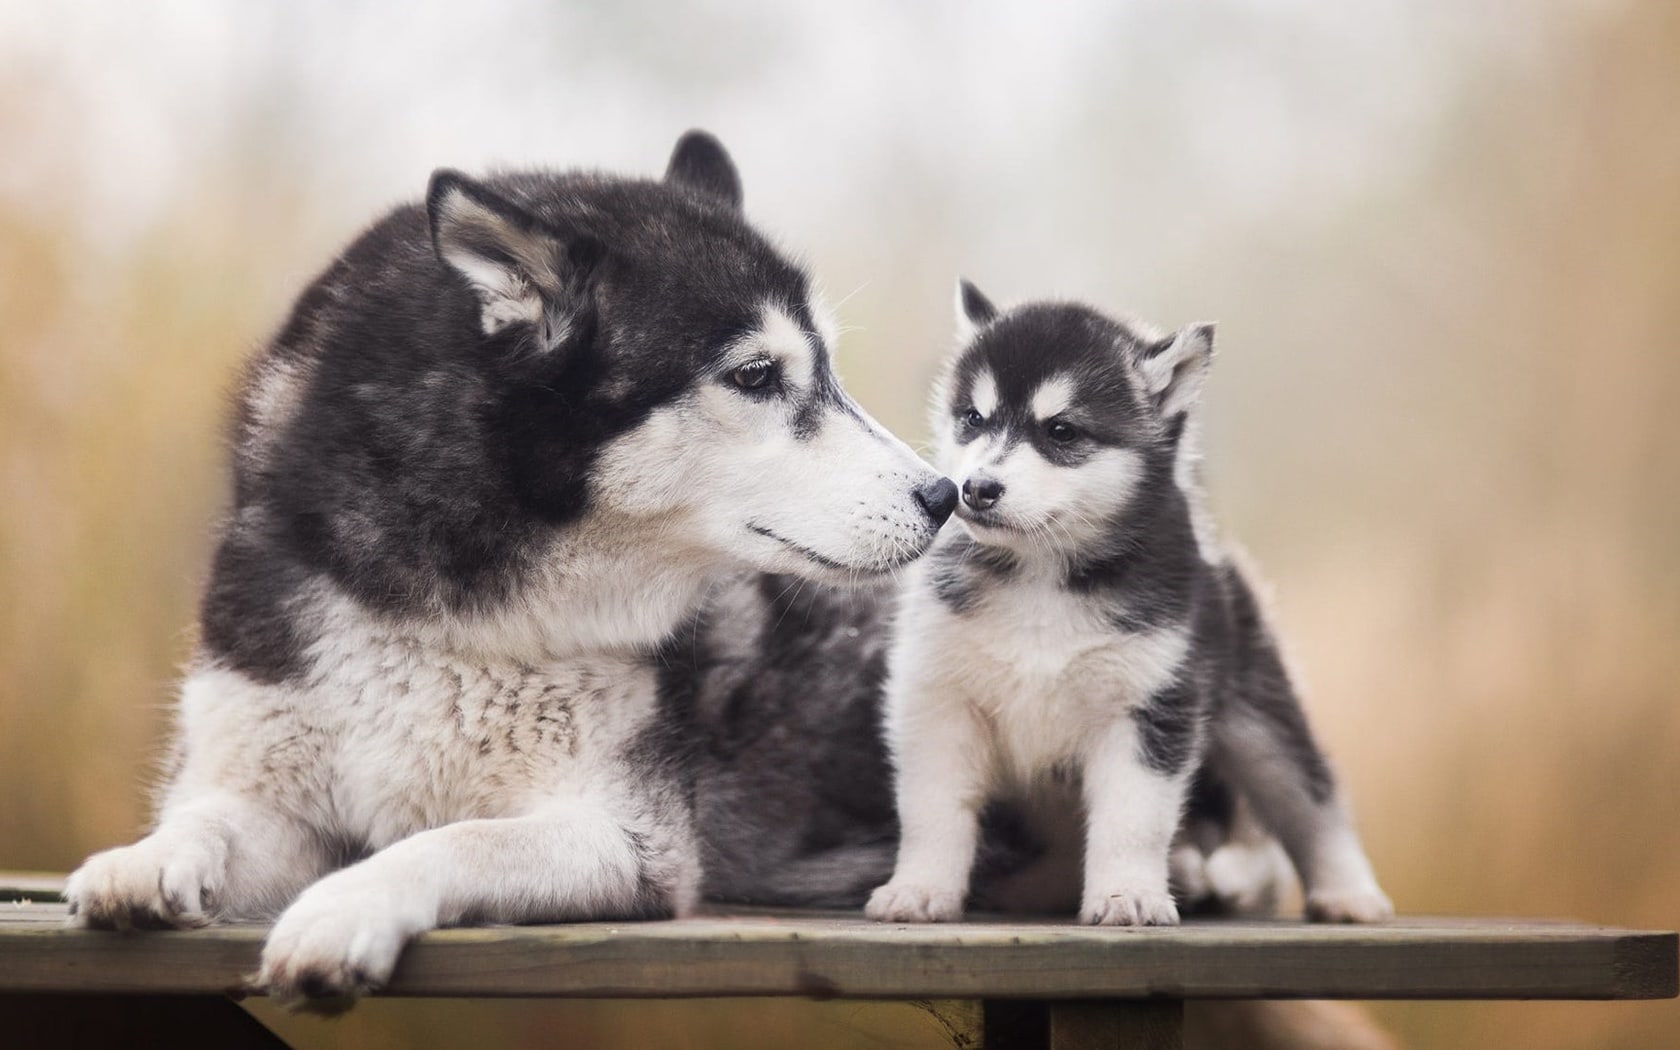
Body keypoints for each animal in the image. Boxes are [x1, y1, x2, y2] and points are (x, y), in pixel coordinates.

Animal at [62, 132, 960, 1007]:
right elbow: (206, 818)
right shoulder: (267, 790)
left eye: (828, 370)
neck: (445, 611)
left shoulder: (636, 840)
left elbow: (453, 839)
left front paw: (342, 910)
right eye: (756, 376)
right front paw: (145, 860)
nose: (943, 495)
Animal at [866, 280, 1391, 927]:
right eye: (973, 419)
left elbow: (1131, 819)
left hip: (1259, 718)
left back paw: (1348, 892)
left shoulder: (1149, 709)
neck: (1043, 576)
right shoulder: (939, 699)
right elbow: (935, 809)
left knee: (1308, 795)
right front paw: (919, 888)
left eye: (1062, 431)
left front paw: (1127, 895)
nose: (977, 488)